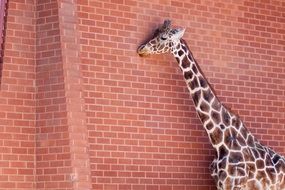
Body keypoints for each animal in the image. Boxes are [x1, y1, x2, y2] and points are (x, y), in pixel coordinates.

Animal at [137, 20, 284, 189]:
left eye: (164, 37)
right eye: (154, 32)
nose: (141, 49)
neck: (220, 142)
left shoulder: (233, 184)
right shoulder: (218, 183)